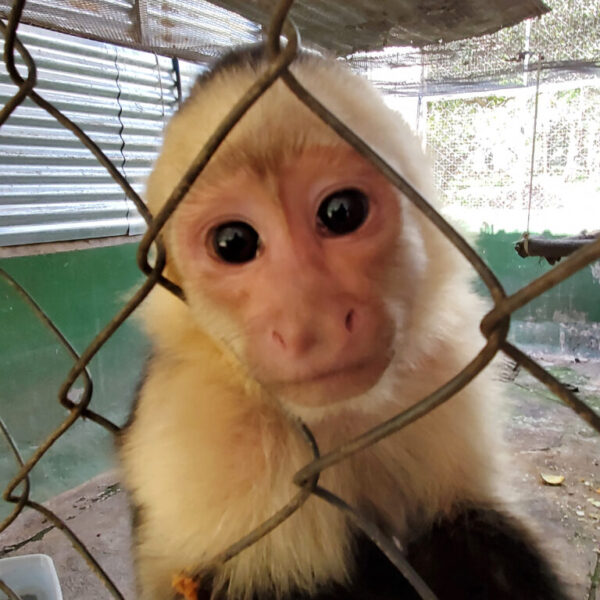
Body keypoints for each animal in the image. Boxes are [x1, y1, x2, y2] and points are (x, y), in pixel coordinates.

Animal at [118, 45, 572, 600]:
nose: (308, 320)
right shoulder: (200, 421)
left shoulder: (441, 368)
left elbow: (467, 532)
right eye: (234, 242)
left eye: (341, 212)